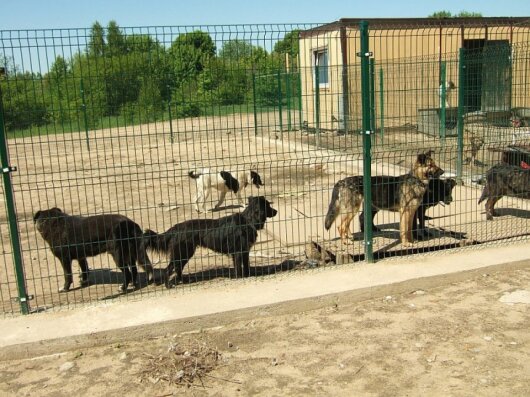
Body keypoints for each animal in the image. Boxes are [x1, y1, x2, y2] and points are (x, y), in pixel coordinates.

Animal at [140, 196, 276, 286]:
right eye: (268, 205)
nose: (276, 211)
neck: (248, 221)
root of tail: (175, 228)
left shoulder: (245, 251)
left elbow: (247, 267)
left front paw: (247, 277)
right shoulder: (237, 253)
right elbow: (238, 268)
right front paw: (239, 278)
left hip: (185, 254)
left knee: (177, 269)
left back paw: (182, 281)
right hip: (182, 253)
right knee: (169, 269)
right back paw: (169, 285)